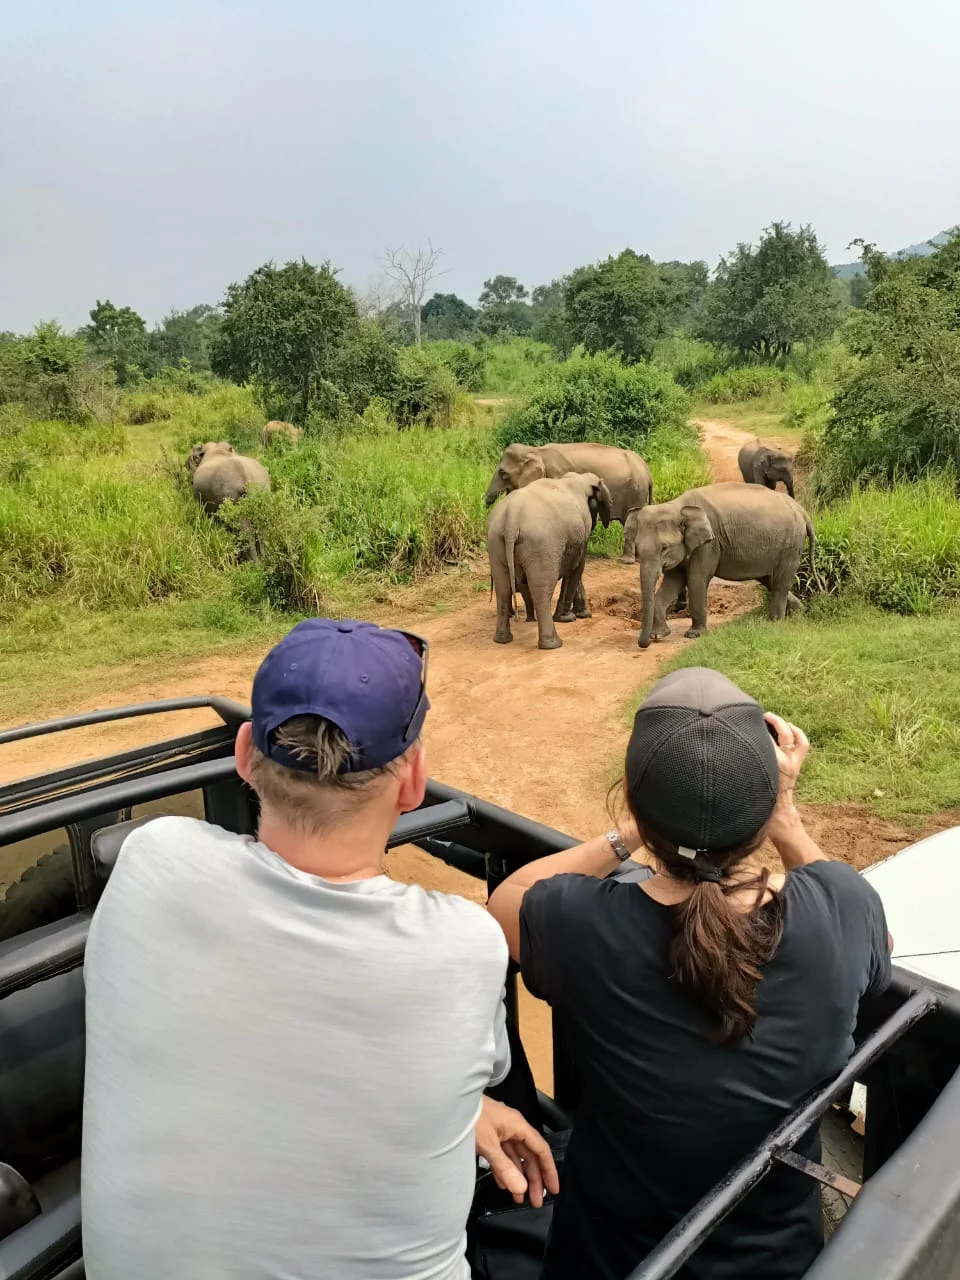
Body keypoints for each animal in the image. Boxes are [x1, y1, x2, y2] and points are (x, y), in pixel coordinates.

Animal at [484, 442, 652, 561]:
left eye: (503, 473)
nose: (485, 503)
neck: (536, 450)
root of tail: (647, 470)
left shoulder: (557, 475)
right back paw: (637, 559)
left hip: (635, 492)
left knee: (630, 519)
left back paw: (626, 560)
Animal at [487, 472, 612, 650]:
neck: (577, 478)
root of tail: (511, 518)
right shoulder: (583, 528)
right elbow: (576, 567)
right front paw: (569, 618)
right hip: (541, 544)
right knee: (542, 589)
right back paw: (553, 644)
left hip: (495, 542)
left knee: (503, 589)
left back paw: (502, 639)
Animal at [627, 482, 816, 649]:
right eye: (637, 548)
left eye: (664, 547)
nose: (645, 644)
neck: (677, 506)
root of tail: (802, 511)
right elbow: (674, 581)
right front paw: (659, 635)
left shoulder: (709, 544)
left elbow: (696, 579)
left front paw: (694, 635)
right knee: (771, 581)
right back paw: (800, 614)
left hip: (791, 545)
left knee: (779, 583)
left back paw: (773, 623)